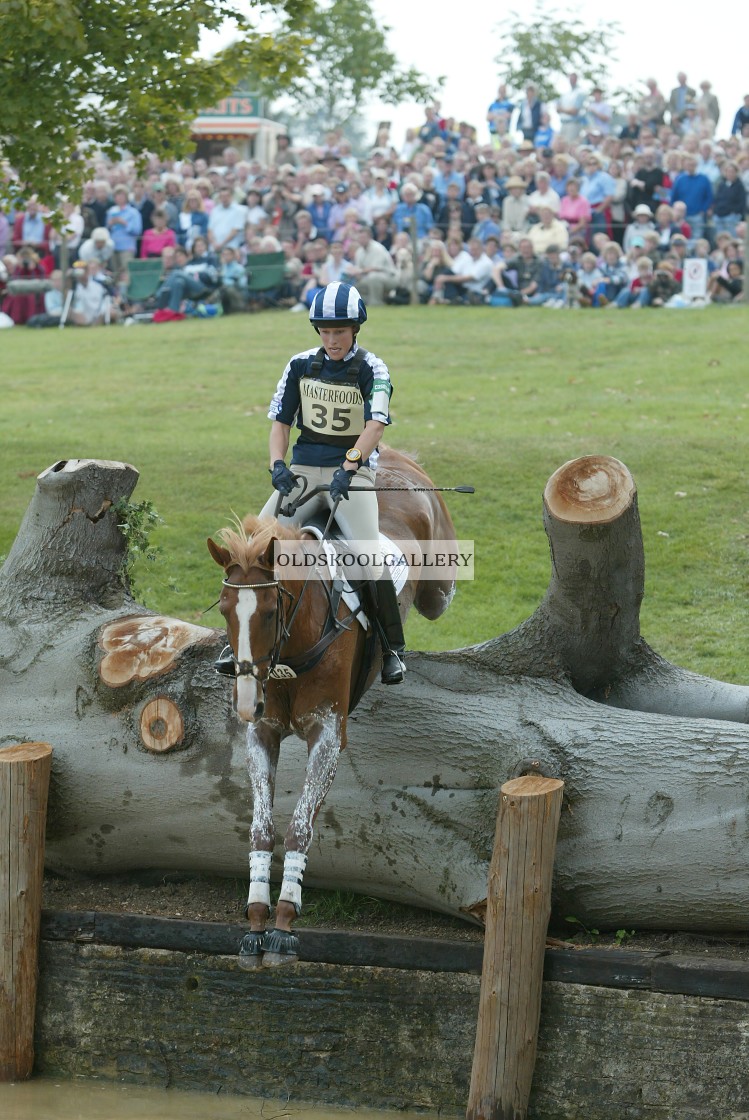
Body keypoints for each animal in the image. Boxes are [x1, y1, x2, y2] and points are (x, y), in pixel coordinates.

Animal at [207, 445, 459, 963]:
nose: (246, 703)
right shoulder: (262, 734)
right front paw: (256, 917)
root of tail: (396, 458)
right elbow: (261, 827)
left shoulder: (326, 735)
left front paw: (284, 921)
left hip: (437, 585)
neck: (290, 654)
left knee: (441, 597)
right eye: (224, 609)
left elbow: (300, 826)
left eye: (269, 612)